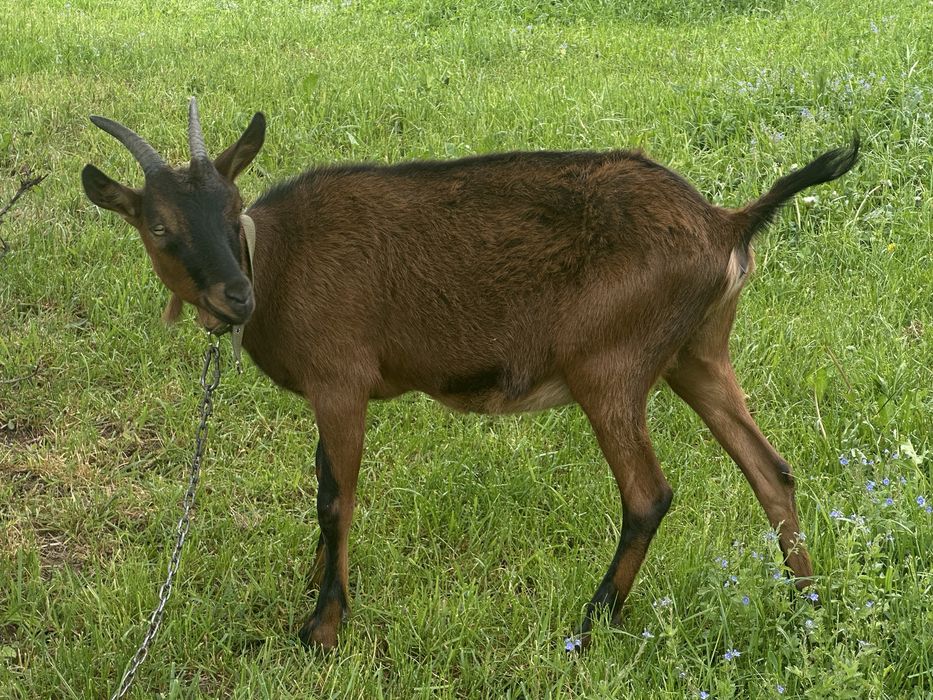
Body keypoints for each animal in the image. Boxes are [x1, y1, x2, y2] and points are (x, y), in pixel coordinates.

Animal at [82, 98, 858, 650]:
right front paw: (313, 586)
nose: (235, 297)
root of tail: (725, 222)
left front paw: (322, 628)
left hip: (609, 363)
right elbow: (322, 482)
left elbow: (336, 497)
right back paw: (809, 610)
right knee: (771, 469)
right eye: (159, 226)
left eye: (233, 206)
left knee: (649, 495)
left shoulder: (341, 382)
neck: (279, 259)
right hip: (697, 353)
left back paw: (590, 624)